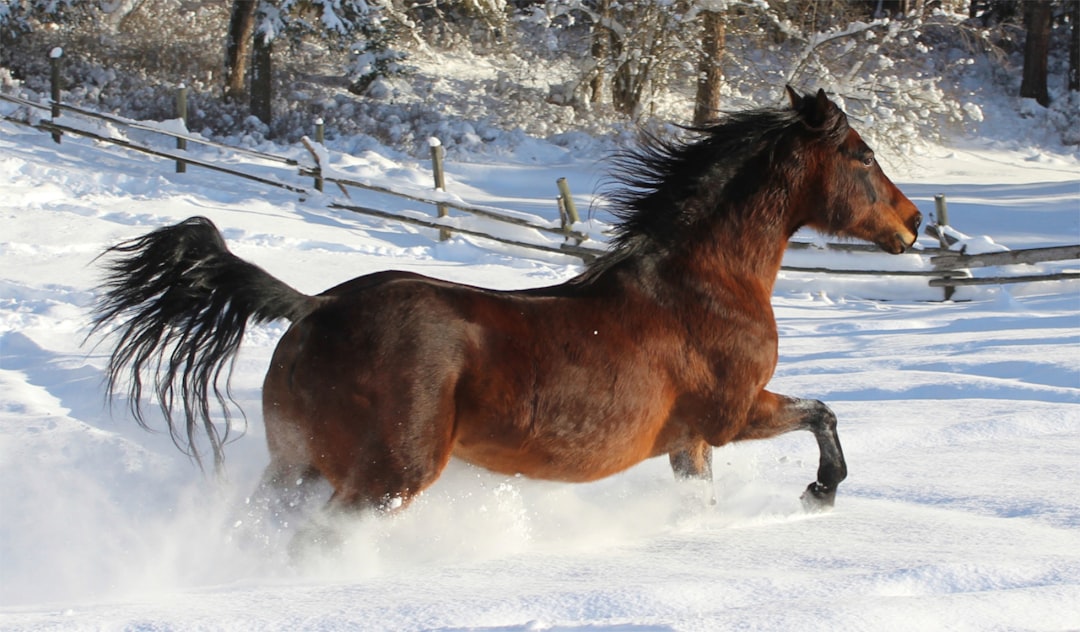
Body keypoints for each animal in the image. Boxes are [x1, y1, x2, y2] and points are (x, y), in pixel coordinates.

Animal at [91, 87, 921, 538]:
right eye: (861, 153)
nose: (913, 223)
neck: (702, 284)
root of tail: (314, 305)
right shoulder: (731, 412)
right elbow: (824, 413)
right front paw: (821, 492)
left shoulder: (691, 442)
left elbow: (709, 492)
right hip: (384, 477)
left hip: (294, 464)